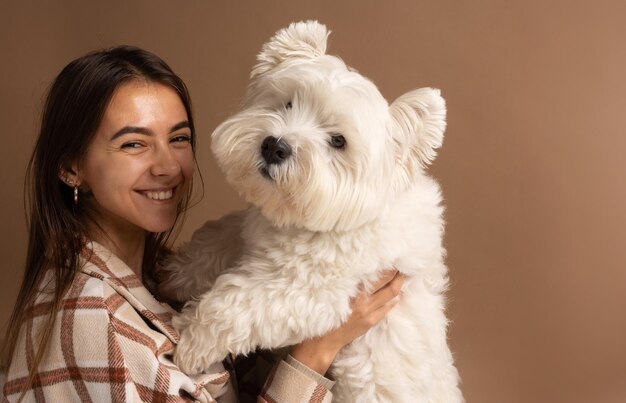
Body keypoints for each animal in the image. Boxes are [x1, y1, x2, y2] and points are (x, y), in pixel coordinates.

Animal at [163, 21, 460, 403]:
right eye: (289, 103)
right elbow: (218, 237)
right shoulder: (253, 232)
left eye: (338, 141)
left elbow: (235, 301)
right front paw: (178, 272)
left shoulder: (310, 292)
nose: (274, 146)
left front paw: (190, 340)